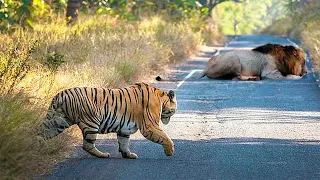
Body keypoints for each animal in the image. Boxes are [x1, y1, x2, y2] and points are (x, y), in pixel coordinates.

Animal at [40, 82, 178, 158]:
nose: (169, 120)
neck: (161, 99)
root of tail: (60, 95)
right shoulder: (149, 126)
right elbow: (165, 137)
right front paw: (170, 151)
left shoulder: (124, 129)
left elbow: (124, 143)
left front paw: (128, 155)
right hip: (91, 122)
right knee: (87, 145)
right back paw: (103, 155)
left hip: (60, 120)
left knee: (44, 129)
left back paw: (36, 143)